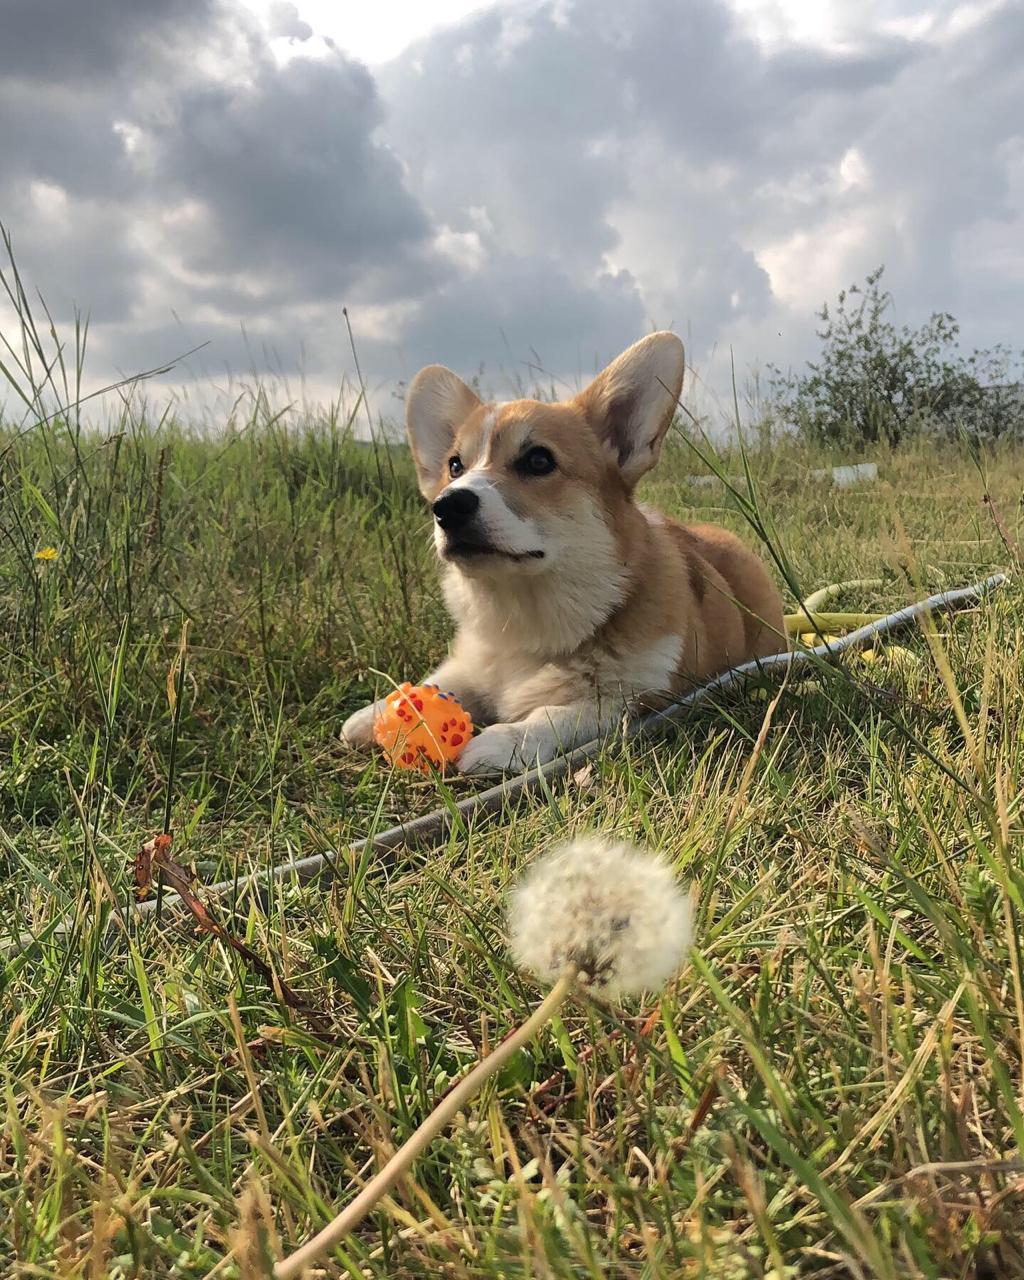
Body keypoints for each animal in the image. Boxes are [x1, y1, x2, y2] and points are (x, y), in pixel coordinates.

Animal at [343, 330, 783, 773]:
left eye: (538, 460)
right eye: (454, 466)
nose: (447, 507)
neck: (526, 619)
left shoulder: (639, 697)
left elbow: (560, 712)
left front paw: (505, 740)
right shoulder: (471, 664)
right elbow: (442, 680)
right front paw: (380, 712)